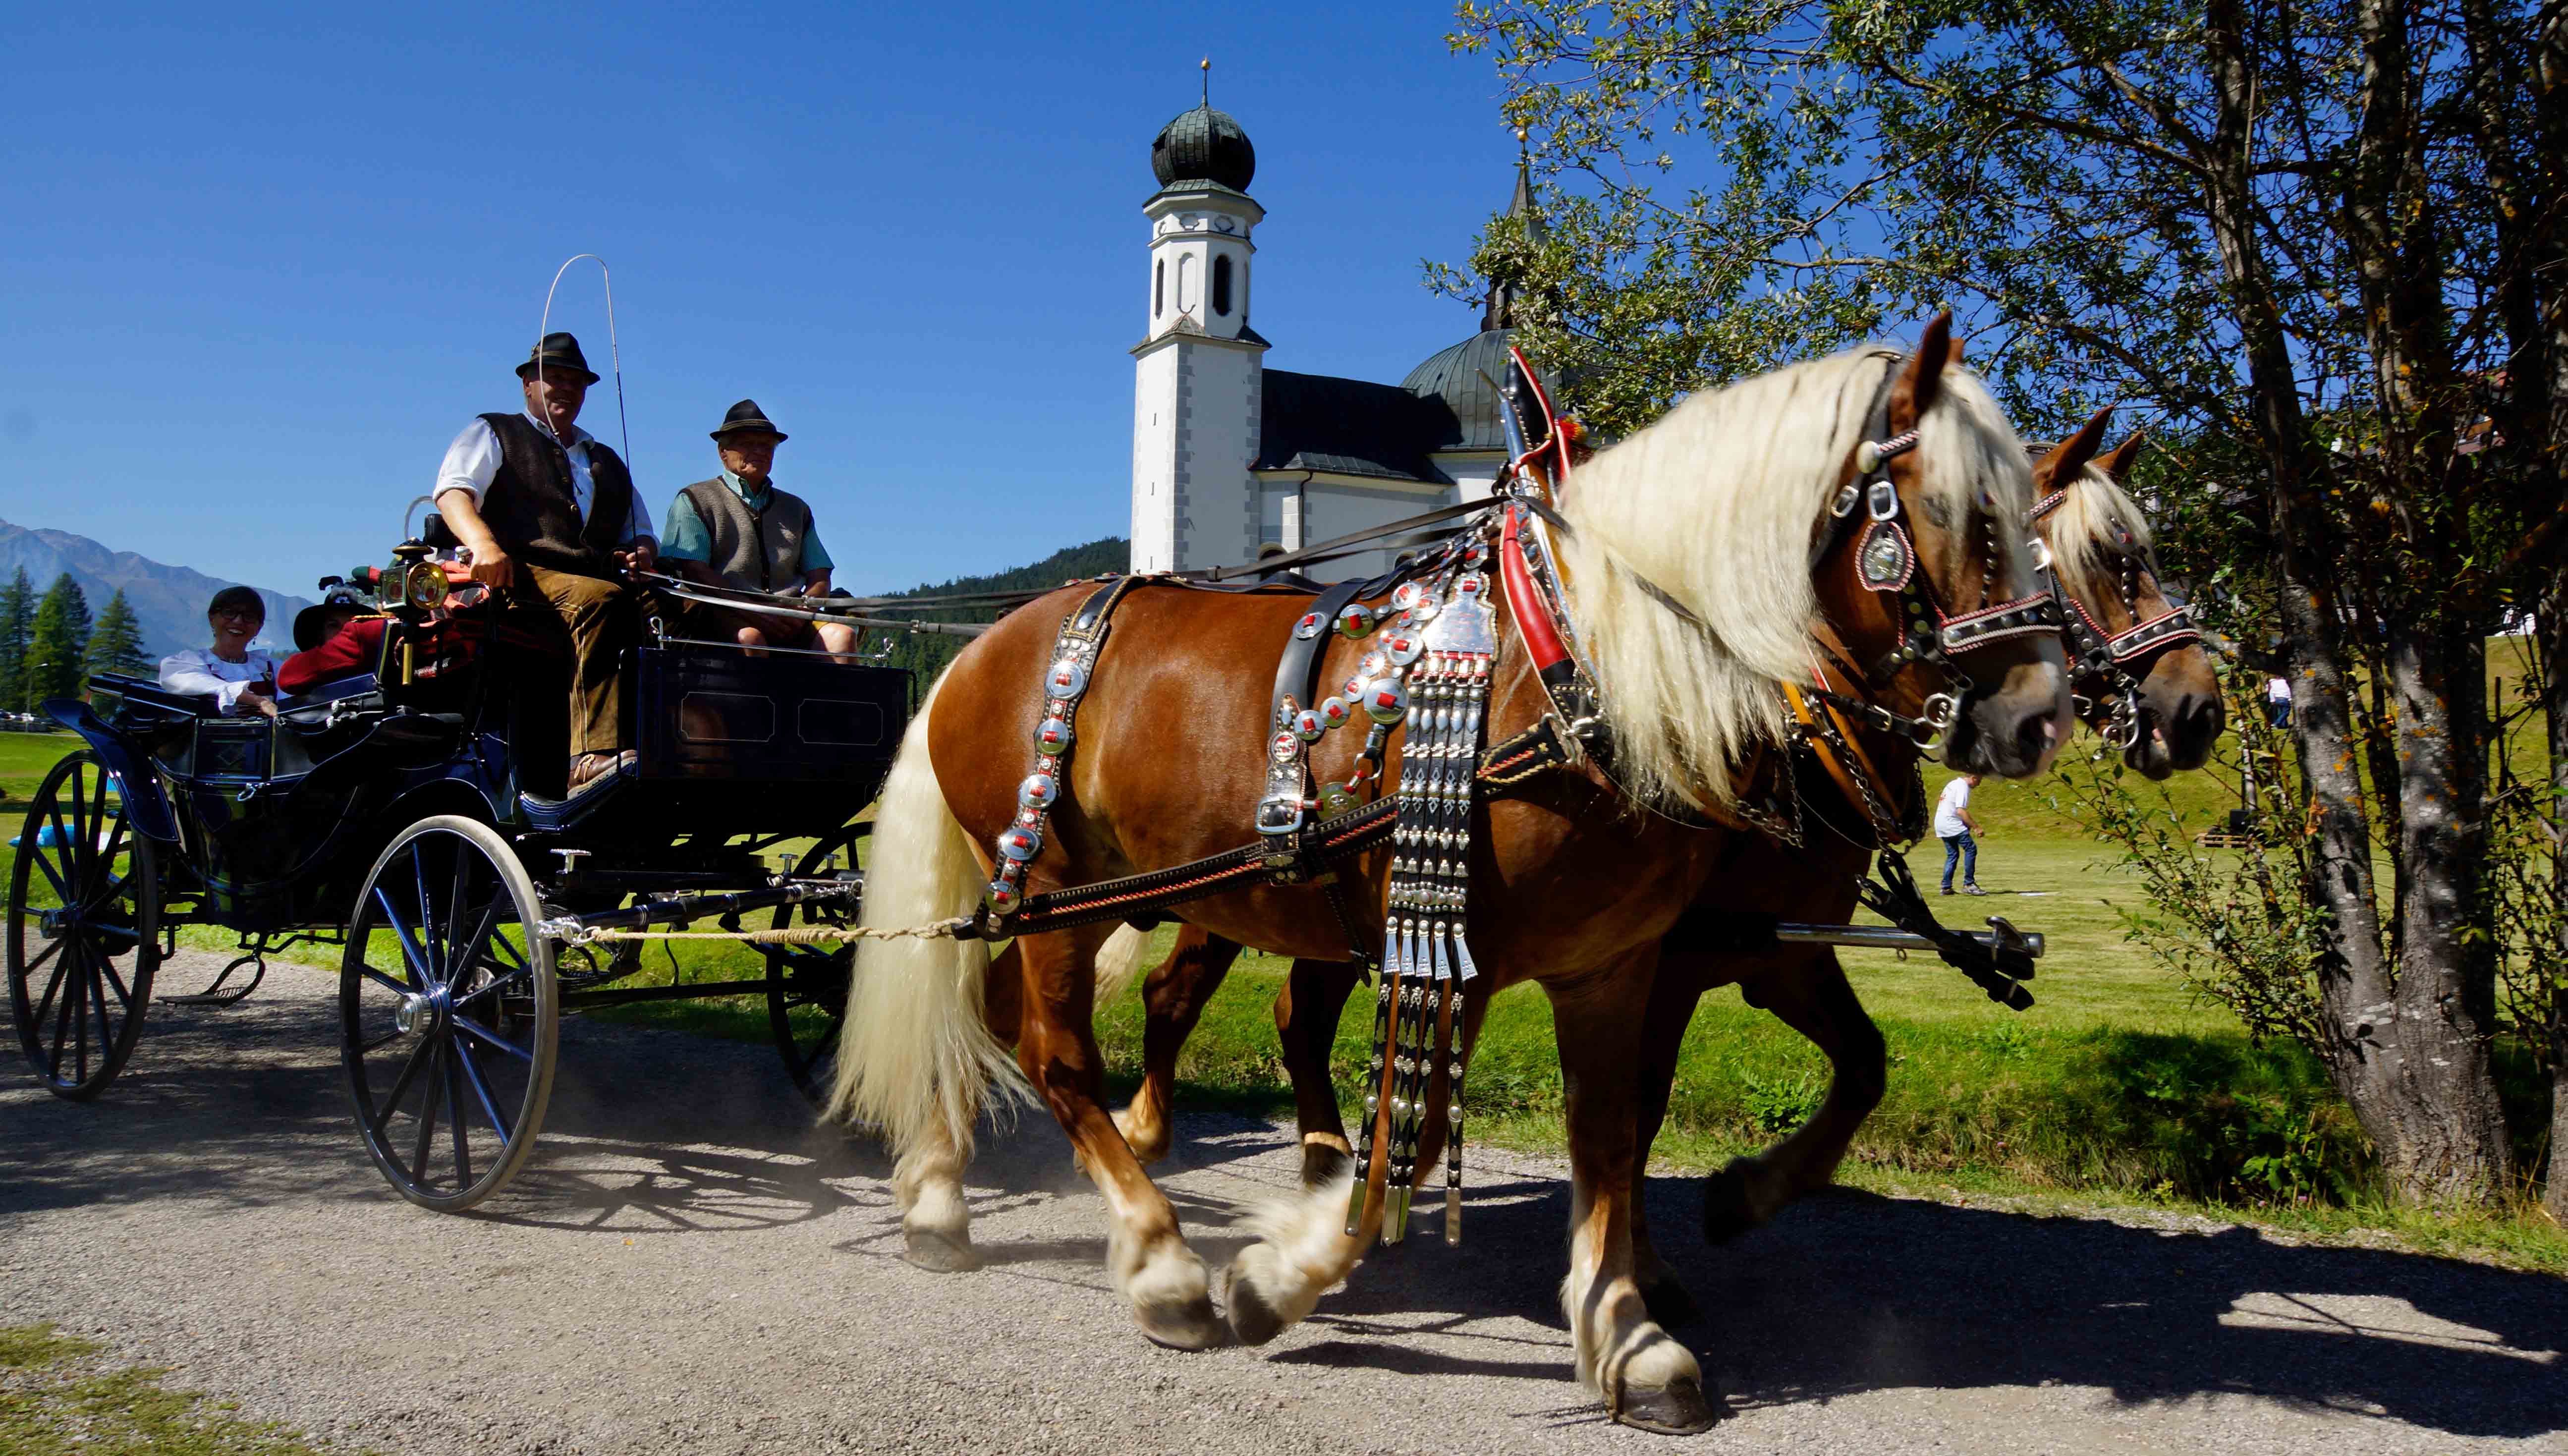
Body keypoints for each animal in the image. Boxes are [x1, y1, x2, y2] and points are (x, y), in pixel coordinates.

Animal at [832, 318, 2075, 1438]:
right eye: (1956, 512)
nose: (2039, 718)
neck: (1579, 669)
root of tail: (978, 647)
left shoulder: (1622, 962)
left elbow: (1612, 1129)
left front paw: (1630, 1331)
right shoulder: (1458, 953)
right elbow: (1417, 1128)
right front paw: (1279, 1275)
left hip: (1087, 898)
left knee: (996, 1013)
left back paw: (939, 1194)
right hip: (1054, 884)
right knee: (1057, 1053)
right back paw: (1159, 1261)